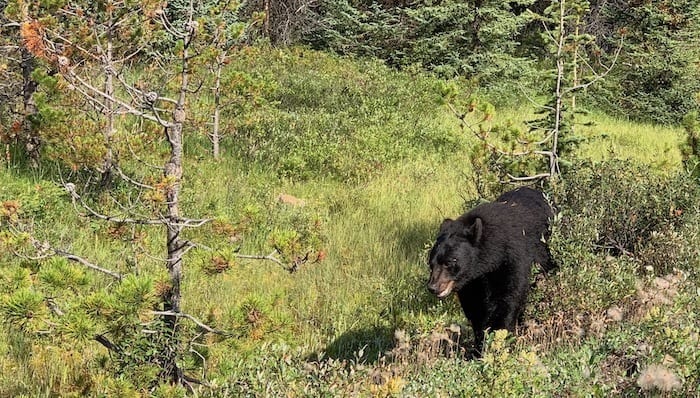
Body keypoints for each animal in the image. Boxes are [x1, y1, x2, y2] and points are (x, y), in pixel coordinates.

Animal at [426, 186, 552, 352]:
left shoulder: (513, 258)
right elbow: (475, 307)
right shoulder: (472, 281)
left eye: (449, 262)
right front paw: (479, 345)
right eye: (431, 262)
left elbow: (508, 298)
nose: (433, 287)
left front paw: (498, 340)